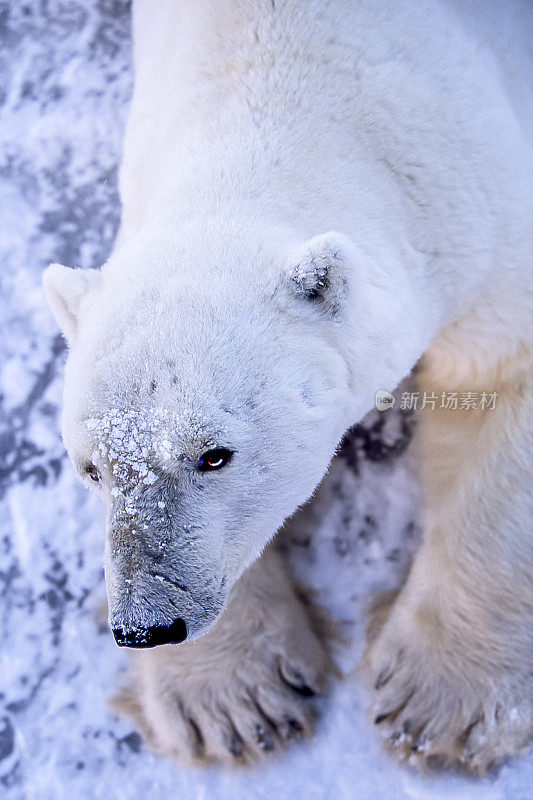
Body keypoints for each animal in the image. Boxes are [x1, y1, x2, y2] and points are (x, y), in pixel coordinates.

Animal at [43, 1, 528, 768]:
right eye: (92, 468)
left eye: (215, 454)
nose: (147, 626)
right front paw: (237, 702)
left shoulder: (478, 220)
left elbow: (496, 385)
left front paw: (436, 705)